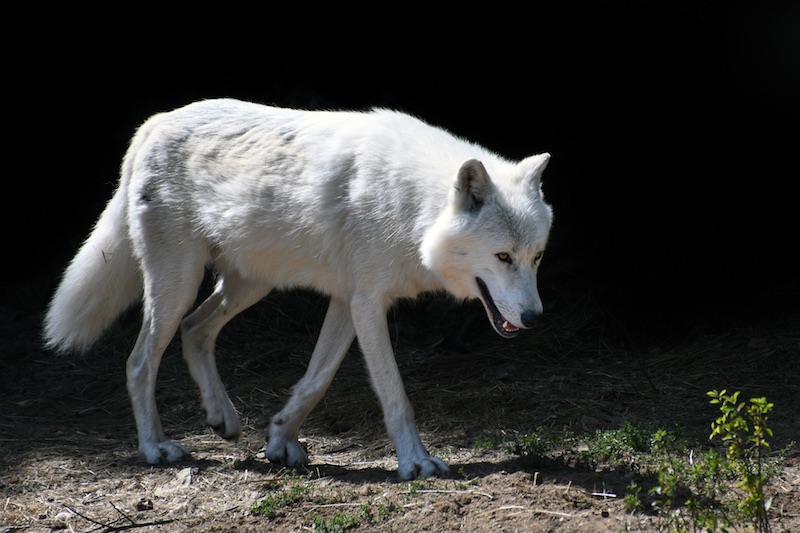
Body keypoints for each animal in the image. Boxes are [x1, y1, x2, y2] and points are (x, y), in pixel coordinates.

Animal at [43, 98, 553, 480]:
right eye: (502, 257)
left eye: (536, 257)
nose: (535, 319)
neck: (413, 208)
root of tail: (153, 123)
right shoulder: (368, 303)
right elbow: (395, 395)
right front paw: (416, 462)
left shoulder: (348, 302)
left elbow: (316, 380)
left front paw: (279, 439)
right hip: (179, 284)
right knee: (139, 361)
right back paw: (154, 448)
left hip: (249, 285)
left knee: (195, 331)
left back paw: (223, 418)